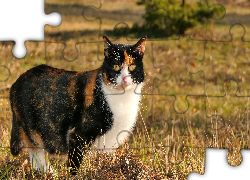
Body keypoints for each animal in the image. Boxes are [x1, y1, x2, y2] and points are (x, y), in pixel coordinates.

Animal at [9, 35, 146, 174]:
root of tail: (16, 83)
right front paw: (74, 175)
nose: (124, 78)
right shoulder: (78, 135)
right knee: (37, 150)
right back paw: (49, 173)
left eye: (132, 67)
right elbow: (74, 162)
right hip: (32, 128)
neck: (121, 98)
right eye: (116, 67)